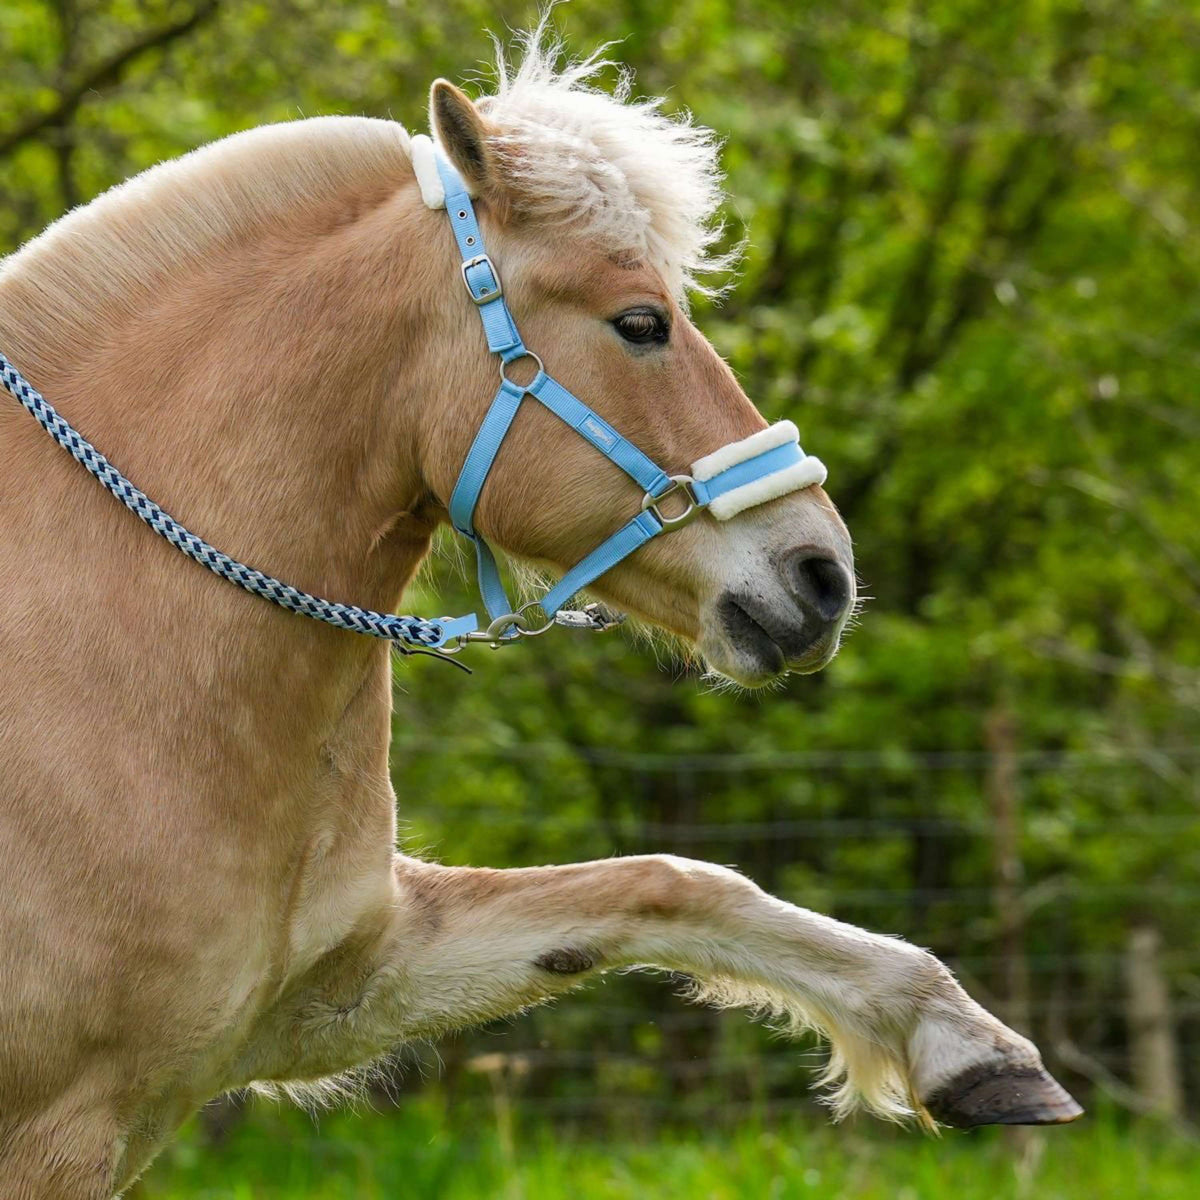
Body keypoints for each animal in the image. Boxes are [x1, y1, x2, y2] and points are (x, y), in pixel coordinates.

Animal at [0, 37, 1084, 1200]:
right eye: (641, 323)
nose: (821, 575)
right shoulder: (66, 1129)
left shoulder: (335, 989)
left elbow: (672, 886)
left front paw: (968, 1046)